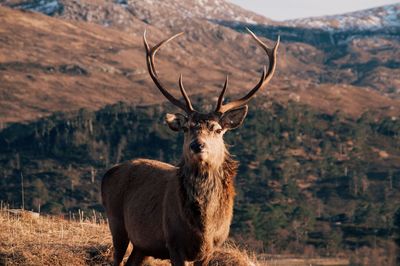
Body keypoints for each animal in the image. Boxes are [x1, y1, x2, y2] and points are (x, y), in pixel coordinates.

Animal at [101, 29, 280, 266]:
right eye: (186, 128)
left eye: (217, 129)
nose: (198, 145)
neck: (203, 229)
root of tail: (108, 173)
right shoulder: (173, 242)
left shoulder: (211, 248)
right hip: (116, 222)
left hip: (142, 244)